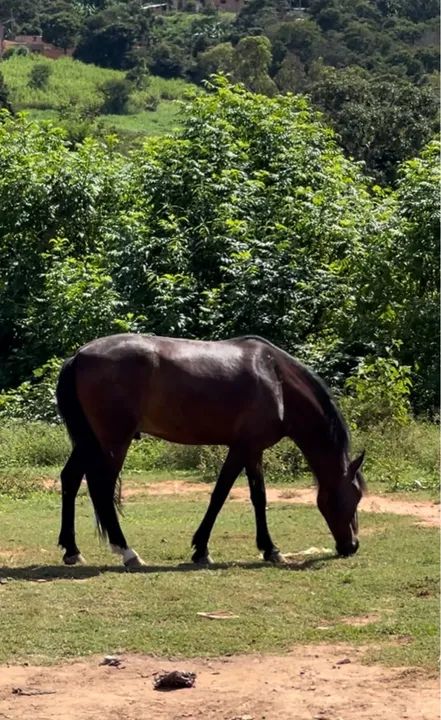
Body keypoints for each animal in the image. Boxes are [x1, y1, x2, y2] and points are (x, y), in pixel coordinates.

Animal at [55, 334, 366, 568]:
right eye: (355, 496)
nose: (352, 546)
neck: (277, 380)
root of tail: (78, 356)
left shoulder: (250, 450)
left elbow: (250, 496)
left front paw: (264, 549)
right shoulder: (243, 448)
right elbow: (226, 495)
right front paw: (206, 549)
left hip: (88, 441)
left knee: (70, 479)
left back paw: (72, 550)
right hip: (114, 443)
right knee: (102, 489)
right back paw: (127, 552)